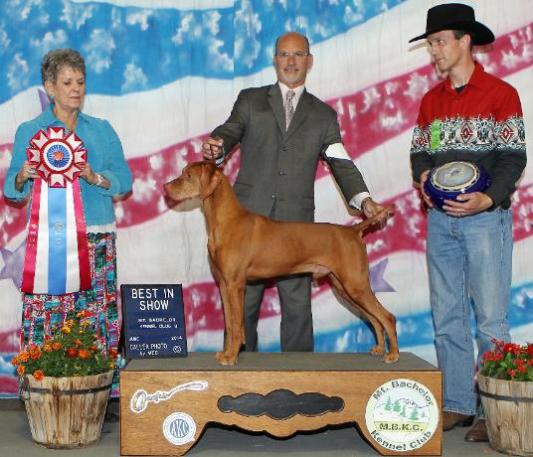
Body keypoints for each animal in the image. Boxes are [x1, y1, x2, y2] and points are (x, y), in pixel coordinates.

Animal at [164, 161, 399, 365]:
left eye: (188, 176)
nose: (165, 187)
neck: (226, 221)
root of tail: (352, 230)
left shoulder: (235, 285)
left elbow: (237, 325)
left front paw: (231, 356)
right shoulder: (223, 284)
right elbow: (230, 324)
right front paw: (226, 353)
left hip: (355, 284)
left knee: (387, 317)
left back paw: (393, 354)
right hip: (343, 287)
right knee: (374, 319)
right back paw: (380, 348)